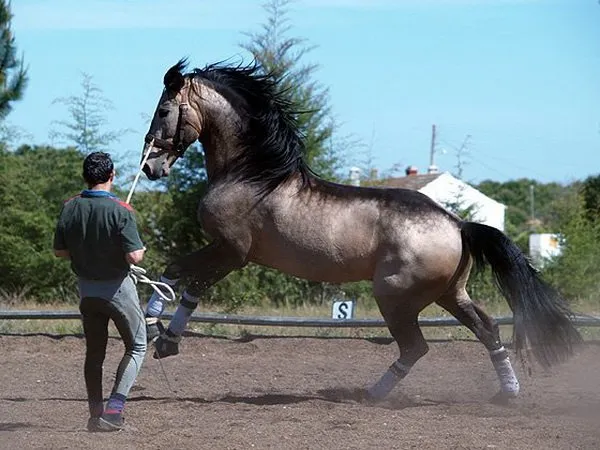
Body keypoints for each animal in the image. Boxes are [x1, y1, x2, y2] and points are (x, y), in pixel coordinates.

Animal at [141, 59, 580, 400]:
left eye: (163, 110)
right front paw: (159, 331)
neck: (252, 175)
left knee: (416, 347)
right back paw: (507, 393)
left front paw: (161, 334)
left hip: (396, 296)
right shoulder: (228, 252)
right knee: (487, 330)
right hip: (450, 294)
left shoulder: (232, 251)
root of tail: (457, 224)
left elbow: (182, 278)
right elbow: (183, 278)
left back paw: (372, 394)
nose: (150, 166)